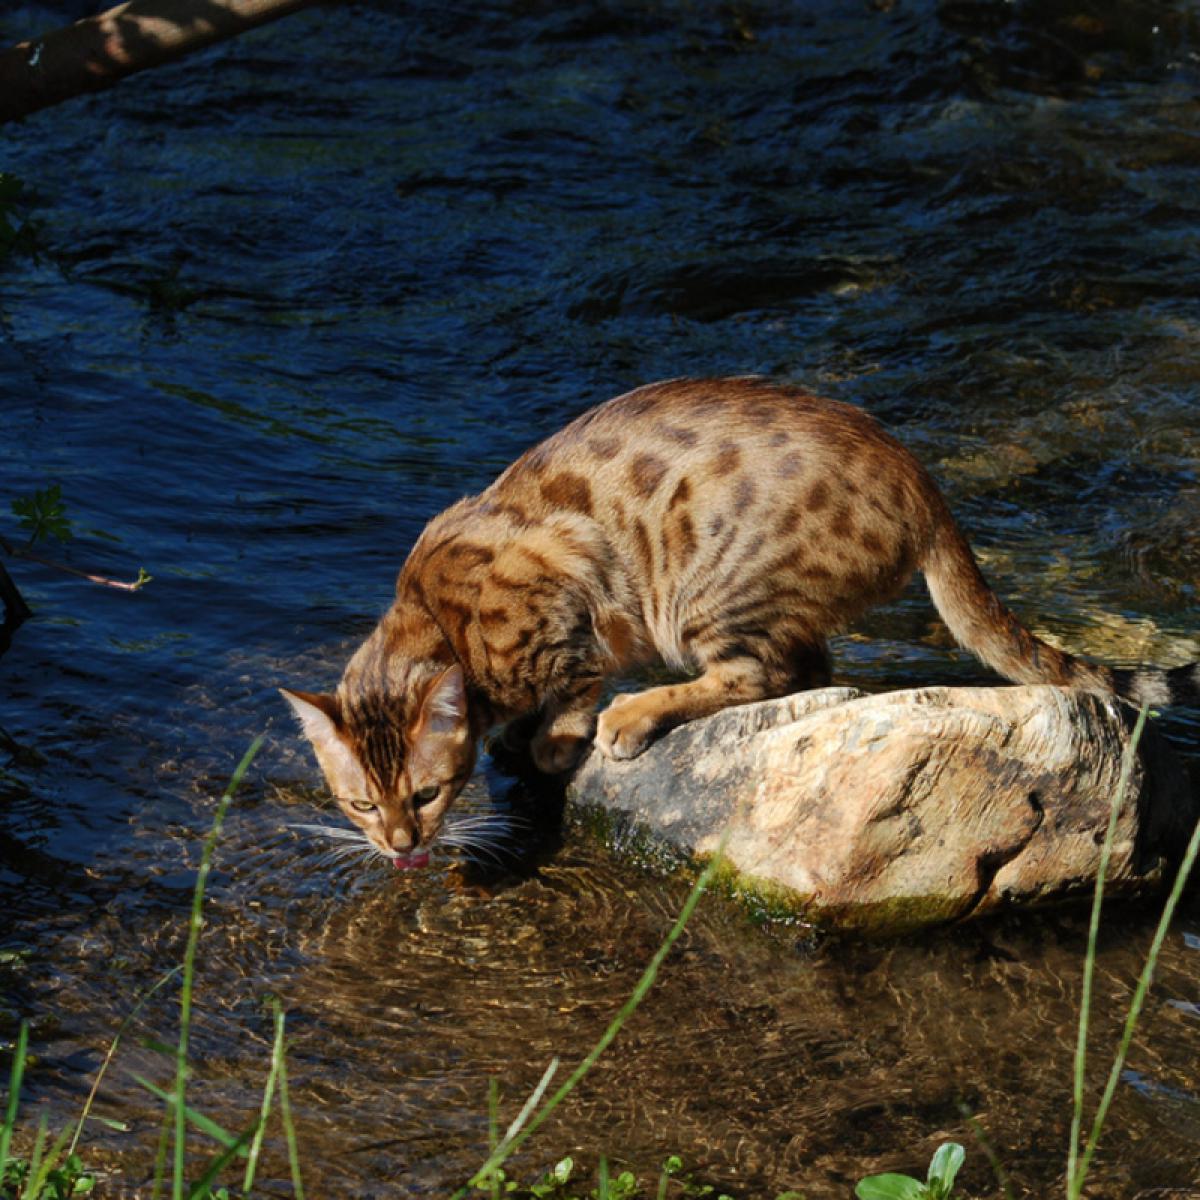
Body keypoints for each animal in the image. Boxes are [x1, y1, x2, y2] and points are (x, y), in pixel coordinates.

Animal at [283, 376, 1200, 864]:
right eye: (359, 803)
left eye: (427, 792)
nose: (399, 847)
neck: (435, 619)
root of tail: (922, 482)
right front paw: (514, 735)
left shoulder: (569, 595)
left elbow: (574, 684)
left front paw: (550, 736)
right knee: (809, 667)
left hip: (704, 585)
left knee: (764, 672)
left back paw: (636, 713)